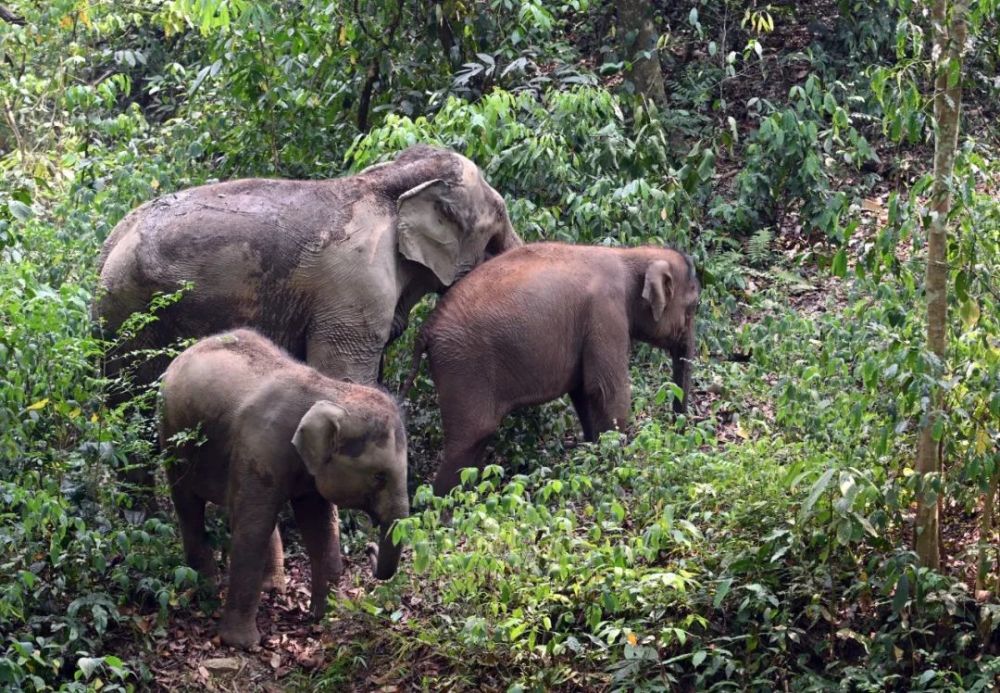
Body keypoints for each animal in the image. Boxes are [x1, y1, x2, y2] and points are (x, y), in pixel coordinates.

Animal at [94, 143, 524, 386]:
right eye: (499, 218)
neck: (388, 179)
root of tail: (111, 246)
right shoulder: (356, 289)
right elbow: (346, 376)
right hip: (135, 310)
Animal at [158, 328, 408, 648]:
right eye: (379, 476)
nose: (370, 548)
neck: (332, 392)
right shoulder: (261, 446)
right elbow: (252, 529)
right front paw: (241, 643)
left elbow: (320, 526)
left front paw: (327, 617)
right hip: (172, 433)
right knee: (190, 505)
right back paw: (206, 590)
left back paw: (272, 588)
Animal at [402, 241, 700, 494]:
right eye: (693, 307)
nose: (680, 430)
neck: (630, 255)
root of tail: (427, 328)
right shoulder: (606, 312)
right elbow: (606, 390)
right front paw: (618, 469)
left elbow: (583, 392)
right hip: (462, 367)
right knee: (468, 439)